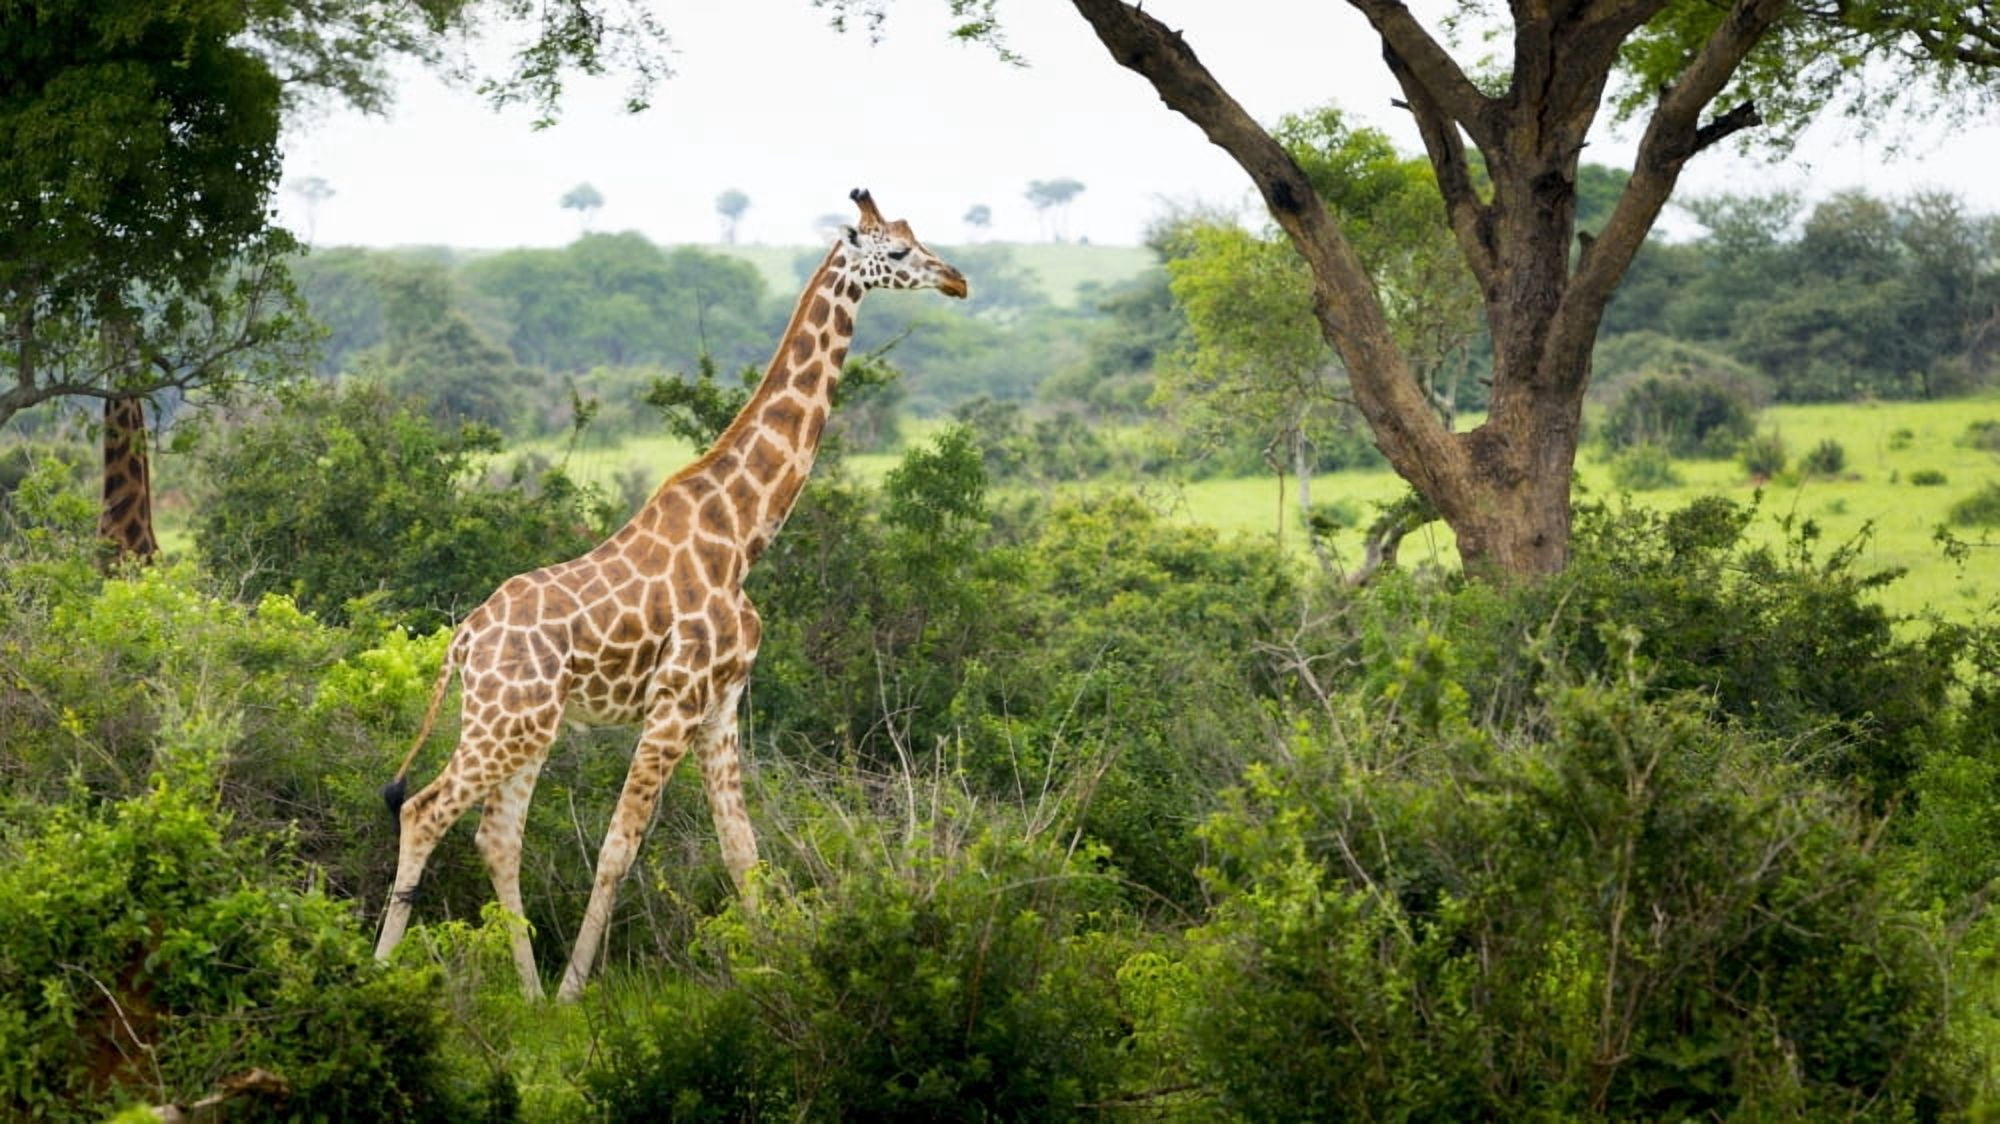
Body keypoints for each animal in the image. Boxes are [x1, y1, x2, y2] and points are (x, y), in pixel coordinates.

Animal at [374, 188, 968, 1001]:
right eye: (900, 251)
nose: (958, 281)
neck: (742, 537)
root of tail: (462, 640)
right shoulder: (675, 701)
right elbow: (620, 846)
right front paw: (575, 994)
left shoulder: (721, 705)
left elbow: (743, 851)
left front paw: (781, 973)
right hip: (505, 724)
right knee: (425, 810)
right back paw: (382, 972)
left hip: (527, 725)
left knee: (496, 835)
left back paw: (526, 994)